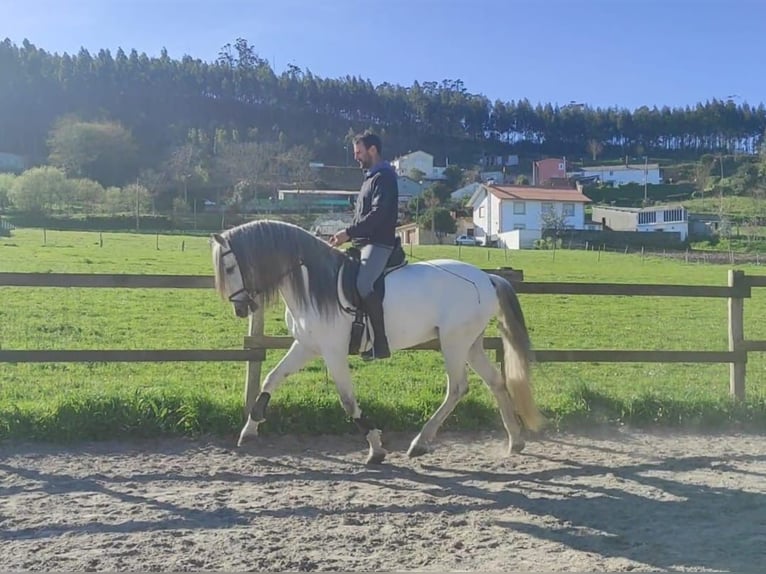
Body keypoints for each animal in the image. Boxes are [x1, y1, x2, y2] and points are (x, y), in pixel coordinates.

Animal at [210, 218, 544, 466]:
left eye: (229, 267)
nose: (241, 309)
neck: (312, 283)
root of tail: (486, 278)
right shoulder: (306, 346)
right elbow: (271, 379)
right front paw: (249, 430)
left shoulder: (332, 352)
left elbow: (347, 401)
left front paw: (376, 447)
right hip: (471, 344)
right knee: (496, 382)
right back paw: (515, 441)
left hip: (454, 343)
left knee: (458, 387)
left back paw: (420, 442)